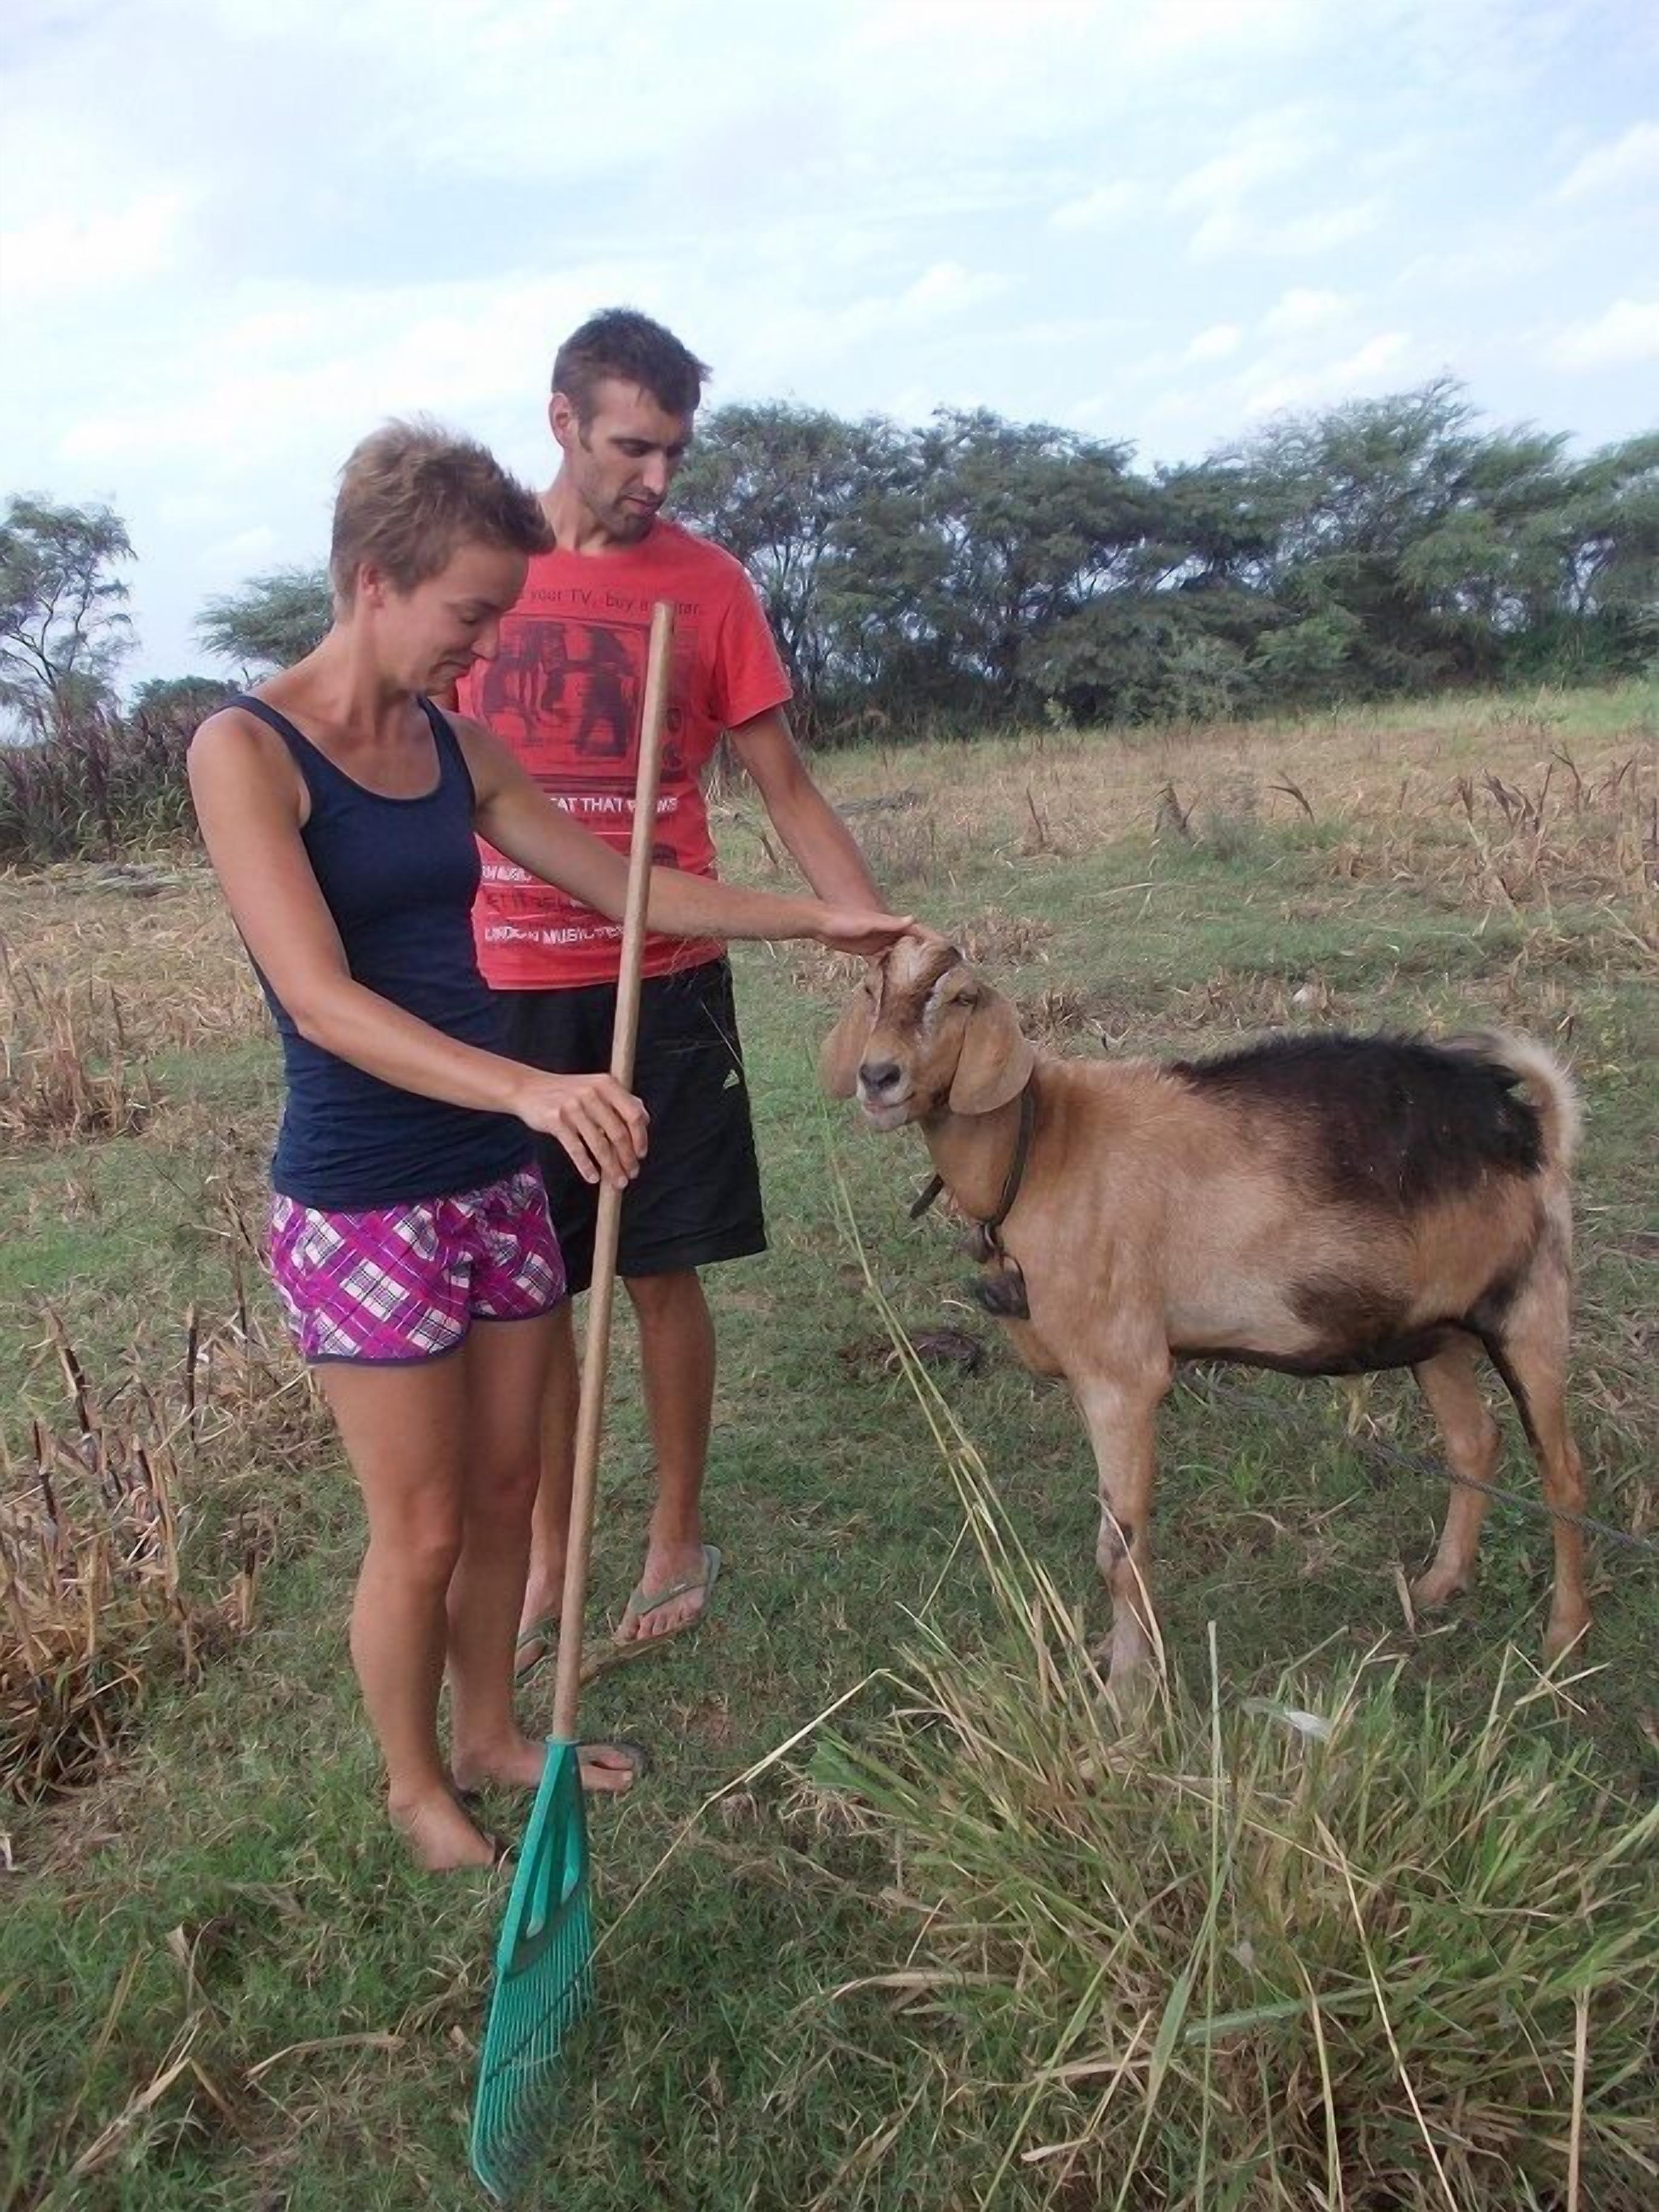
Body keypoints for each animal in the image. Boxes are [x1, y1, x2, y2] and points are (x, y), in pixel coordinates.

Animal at [821, 935, 1591, 1688]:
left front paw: (1130, 1689)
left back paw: (1564, 1637)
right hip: (1434, 1331)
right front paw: (1114, 1657)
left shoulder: (1124, 1377)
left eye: (959, 999)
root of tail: (1529, 1125)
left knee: (1562, 1472)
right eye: (871, 990)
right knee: (1474, 1443)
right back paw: (1438, 1585)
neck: (1041, 1149)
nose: (879, 1076)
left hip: (1530, 1308)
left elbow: (1119, 1547)